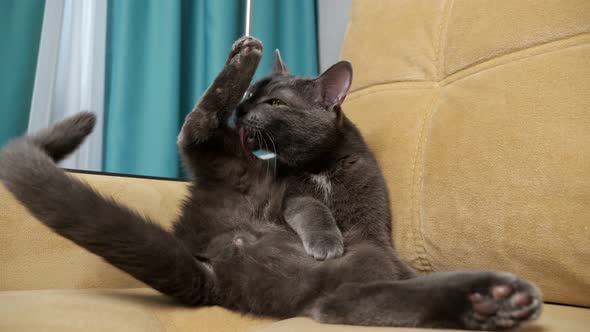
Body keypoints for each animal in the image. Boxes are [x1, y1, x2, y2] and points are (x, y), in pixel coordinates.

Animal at [0, 37, 544, 330]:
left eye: (275, 102)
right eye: (254, 98)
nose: (243, 110)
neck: (322, 162)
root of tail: (213, 259)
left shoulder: (368, 202)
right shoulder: (296, 192)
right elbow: (312, 210)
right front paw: (325, 240)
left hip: (332, 281)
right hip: (237, 164)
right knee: (195, 127)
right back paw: (243, 54)